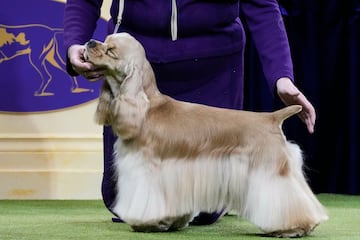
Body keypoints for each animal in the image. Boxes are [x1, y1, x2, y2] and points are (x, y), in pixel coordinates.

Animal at [83, 32, 328, 237]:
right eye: (105, 39)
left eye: (111, 50)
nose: (90, 42)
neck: (146, 108)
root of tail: (272, 118)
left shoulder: (147, 168)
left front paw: (147, 223)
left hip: (269, 170)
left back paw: (292, 227)